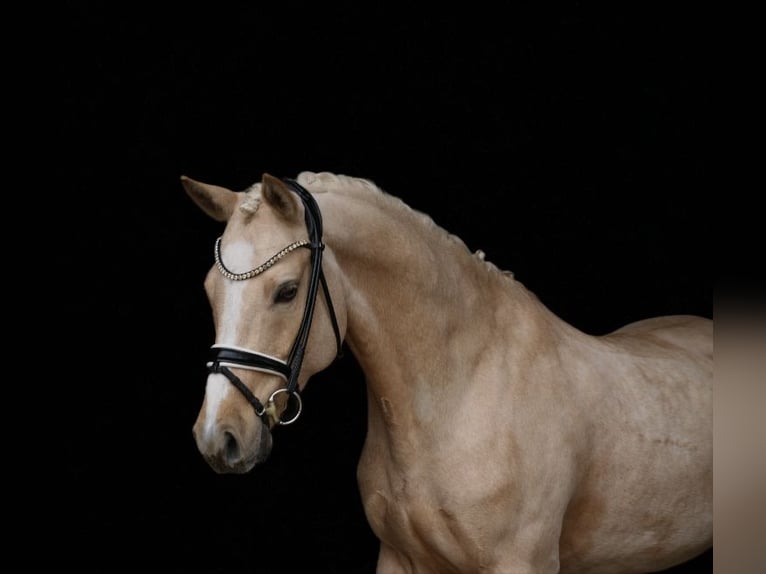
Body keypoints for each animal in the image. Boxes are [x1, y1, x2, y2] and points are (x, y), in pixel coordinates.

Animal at [180, 172, 712, 574]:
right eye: (208, 291)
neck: (462, 394)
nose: (217, 437)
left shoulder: (522, 563)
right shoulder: (401, 559)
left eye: (287, 291)